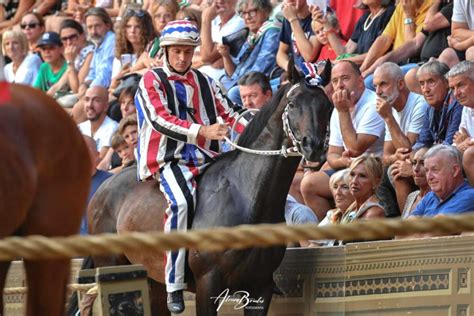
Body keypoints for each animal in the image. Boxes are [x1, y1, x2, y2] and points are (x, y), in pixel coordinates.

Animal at [87, 63, 332, 314]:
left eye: (328, 105)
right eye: (292, 104)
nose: (313, 147)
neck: (245, 196)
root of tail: (102, 188)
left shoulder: (260, 288)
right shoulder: (208, 284)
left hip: (152, 282)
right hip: (115, 268)